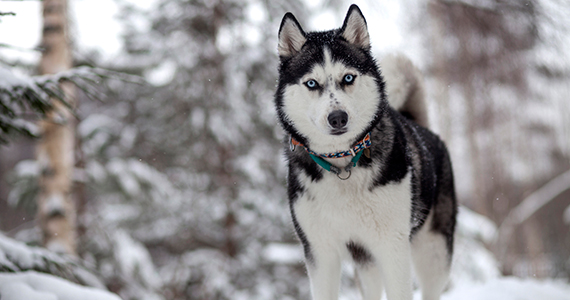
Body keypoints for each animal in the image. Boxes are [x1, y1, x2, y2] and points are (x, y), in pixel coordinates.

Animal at [272, 4, 454, 300]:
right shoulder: (319, 251)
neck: (342, 165)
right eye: (311, 83)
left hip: (433, 252)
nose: (337, 118)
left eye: (348, 77)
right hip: (365, 260)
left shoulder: (392, 245)